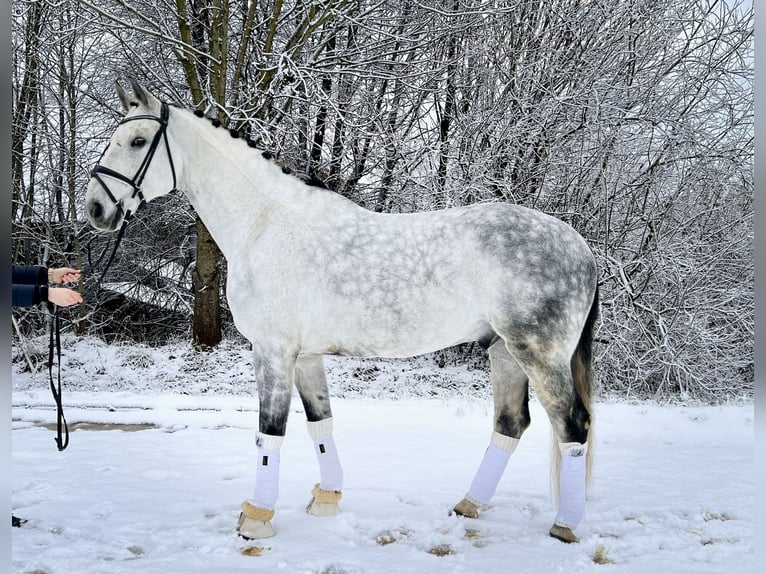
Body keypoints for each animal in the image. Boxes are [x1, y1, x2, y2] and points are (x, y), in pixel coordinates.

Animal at [84, 79, 599, 544]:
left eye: (137, 141)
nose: (95, 209)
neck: (264, 224)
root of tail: (581, 248)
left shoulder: (273, 351)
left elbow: (270, 433)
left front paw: (256, 518)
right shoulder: (307, 357)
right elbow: (321, 424)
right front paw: (326, 499)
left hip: (538, 354)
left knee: (572, 426)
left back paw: (565, 525)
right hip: (504, 352)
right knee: (511, 423)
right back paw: (469, 505)